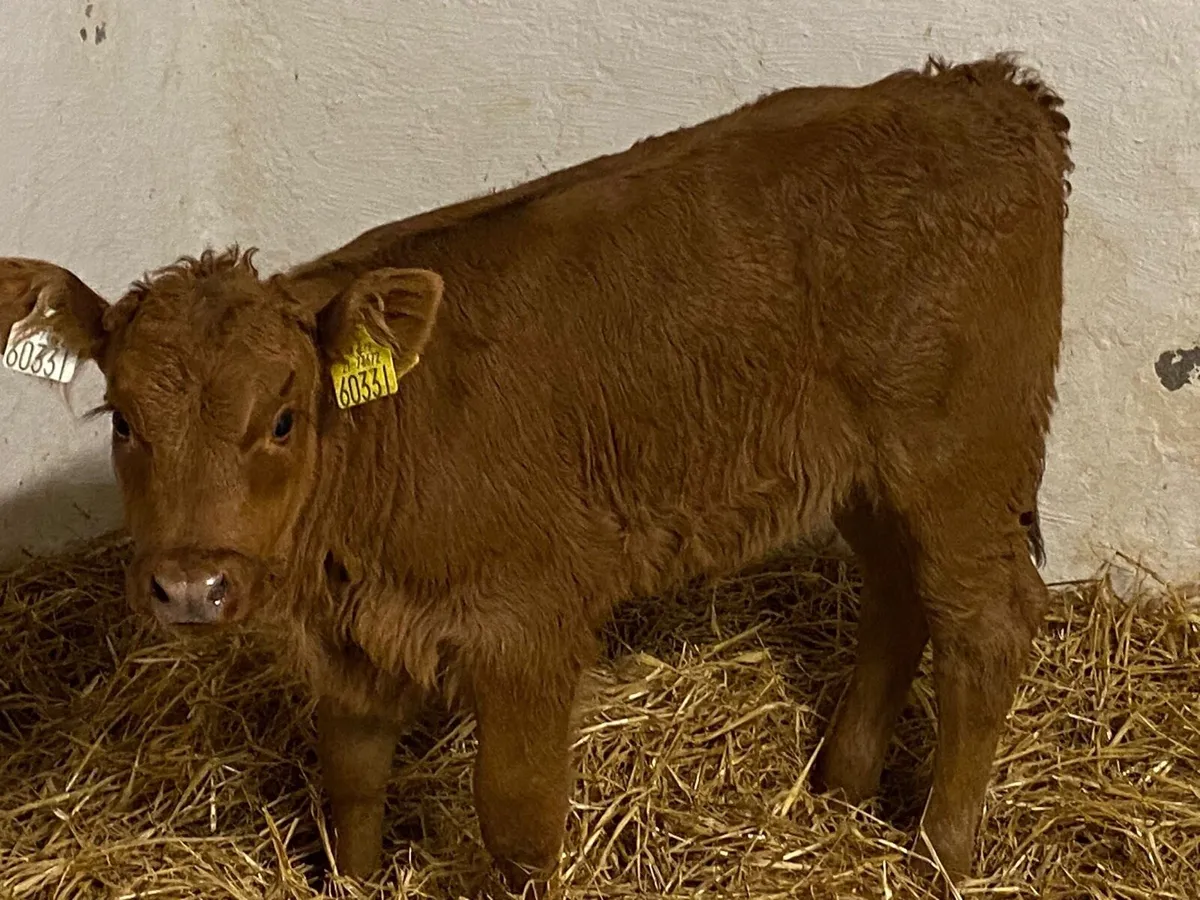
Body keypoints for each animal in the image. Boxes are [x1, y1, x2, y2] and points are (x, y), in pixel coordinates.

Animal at [0, 53, 1071, 891]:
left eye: (283, 419)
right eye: (124, 420)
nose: (191, 586)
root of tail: (986, 88)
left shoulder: (527, 629)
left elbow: (516, 824)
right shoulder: (350, 638)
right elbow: (352, 787)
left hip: (963, 459)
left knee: (987, 624)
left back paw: (941, 854)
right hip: (872, 475)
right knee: (897, 596)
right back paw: (840, 789)